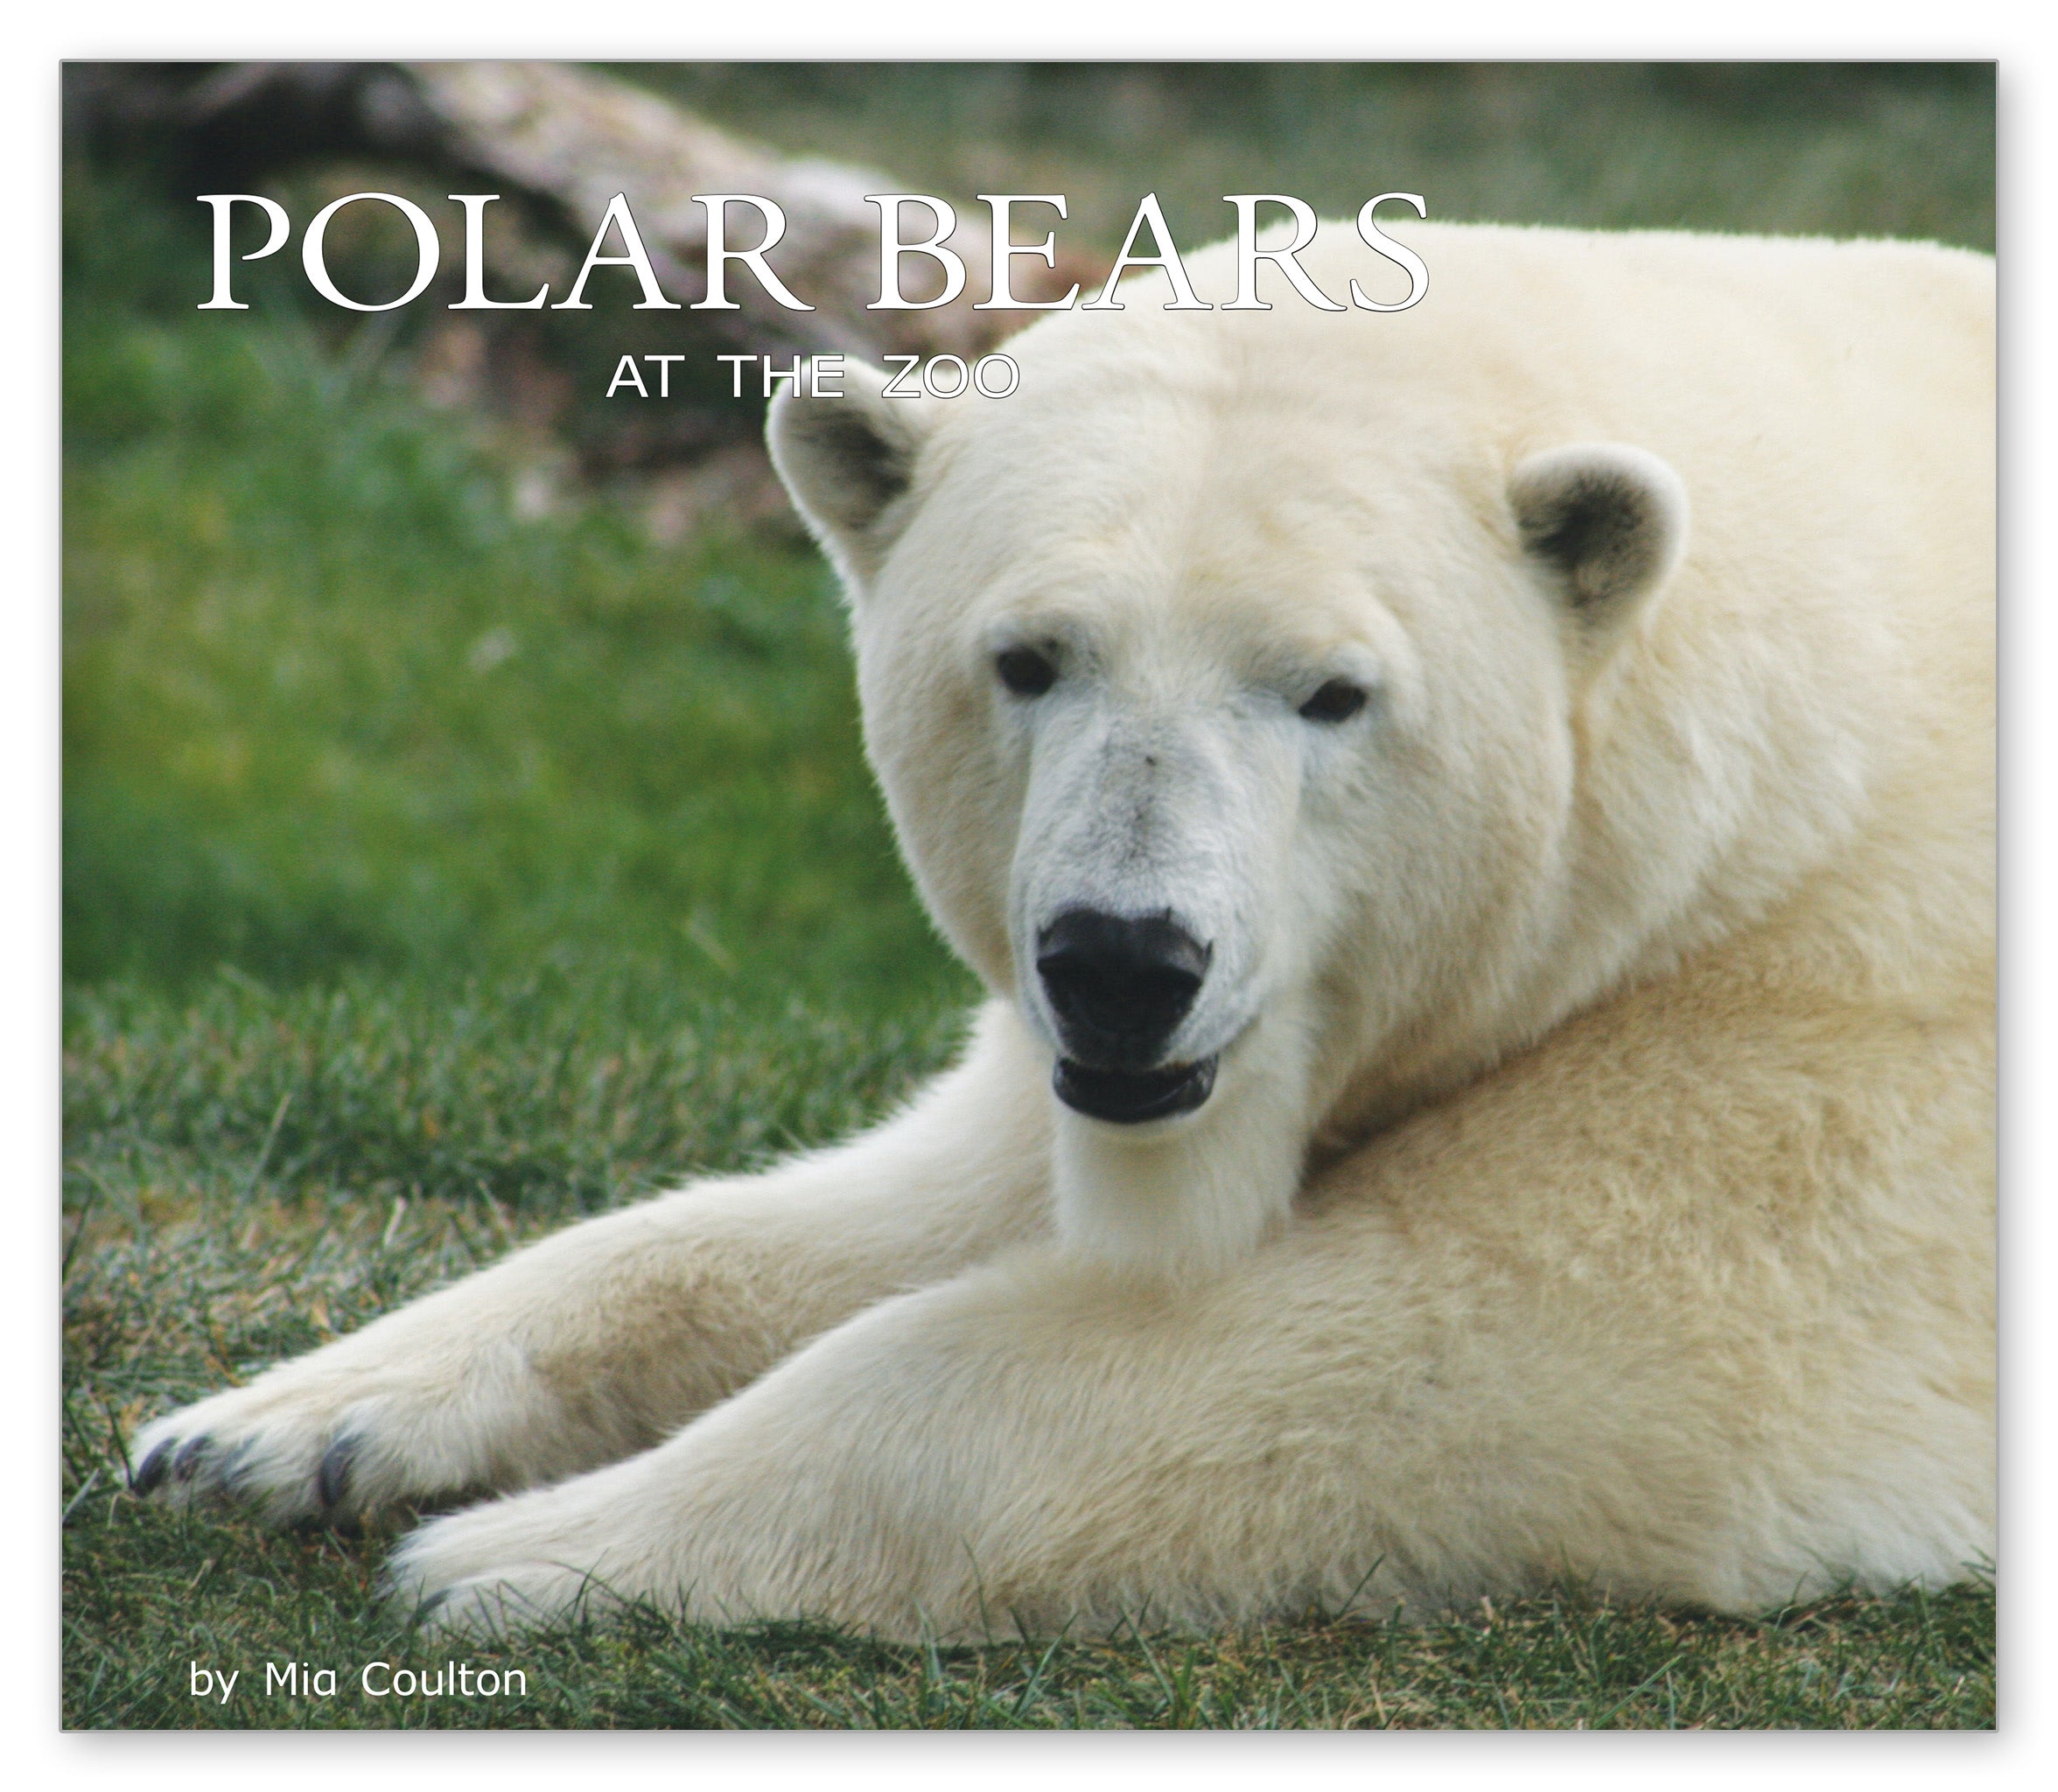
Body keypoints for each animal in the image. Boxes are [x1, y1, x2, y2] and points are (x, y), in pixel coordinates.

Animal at [129, 221, 1994, 1642]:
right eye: (1028, 658)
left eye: (1331, 691)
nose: (1120, 960)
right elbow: (879, 1208)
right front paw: (274, 1426)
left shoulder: (1834, 1042)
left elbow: (1495, 1345)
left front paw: (527, 1549)